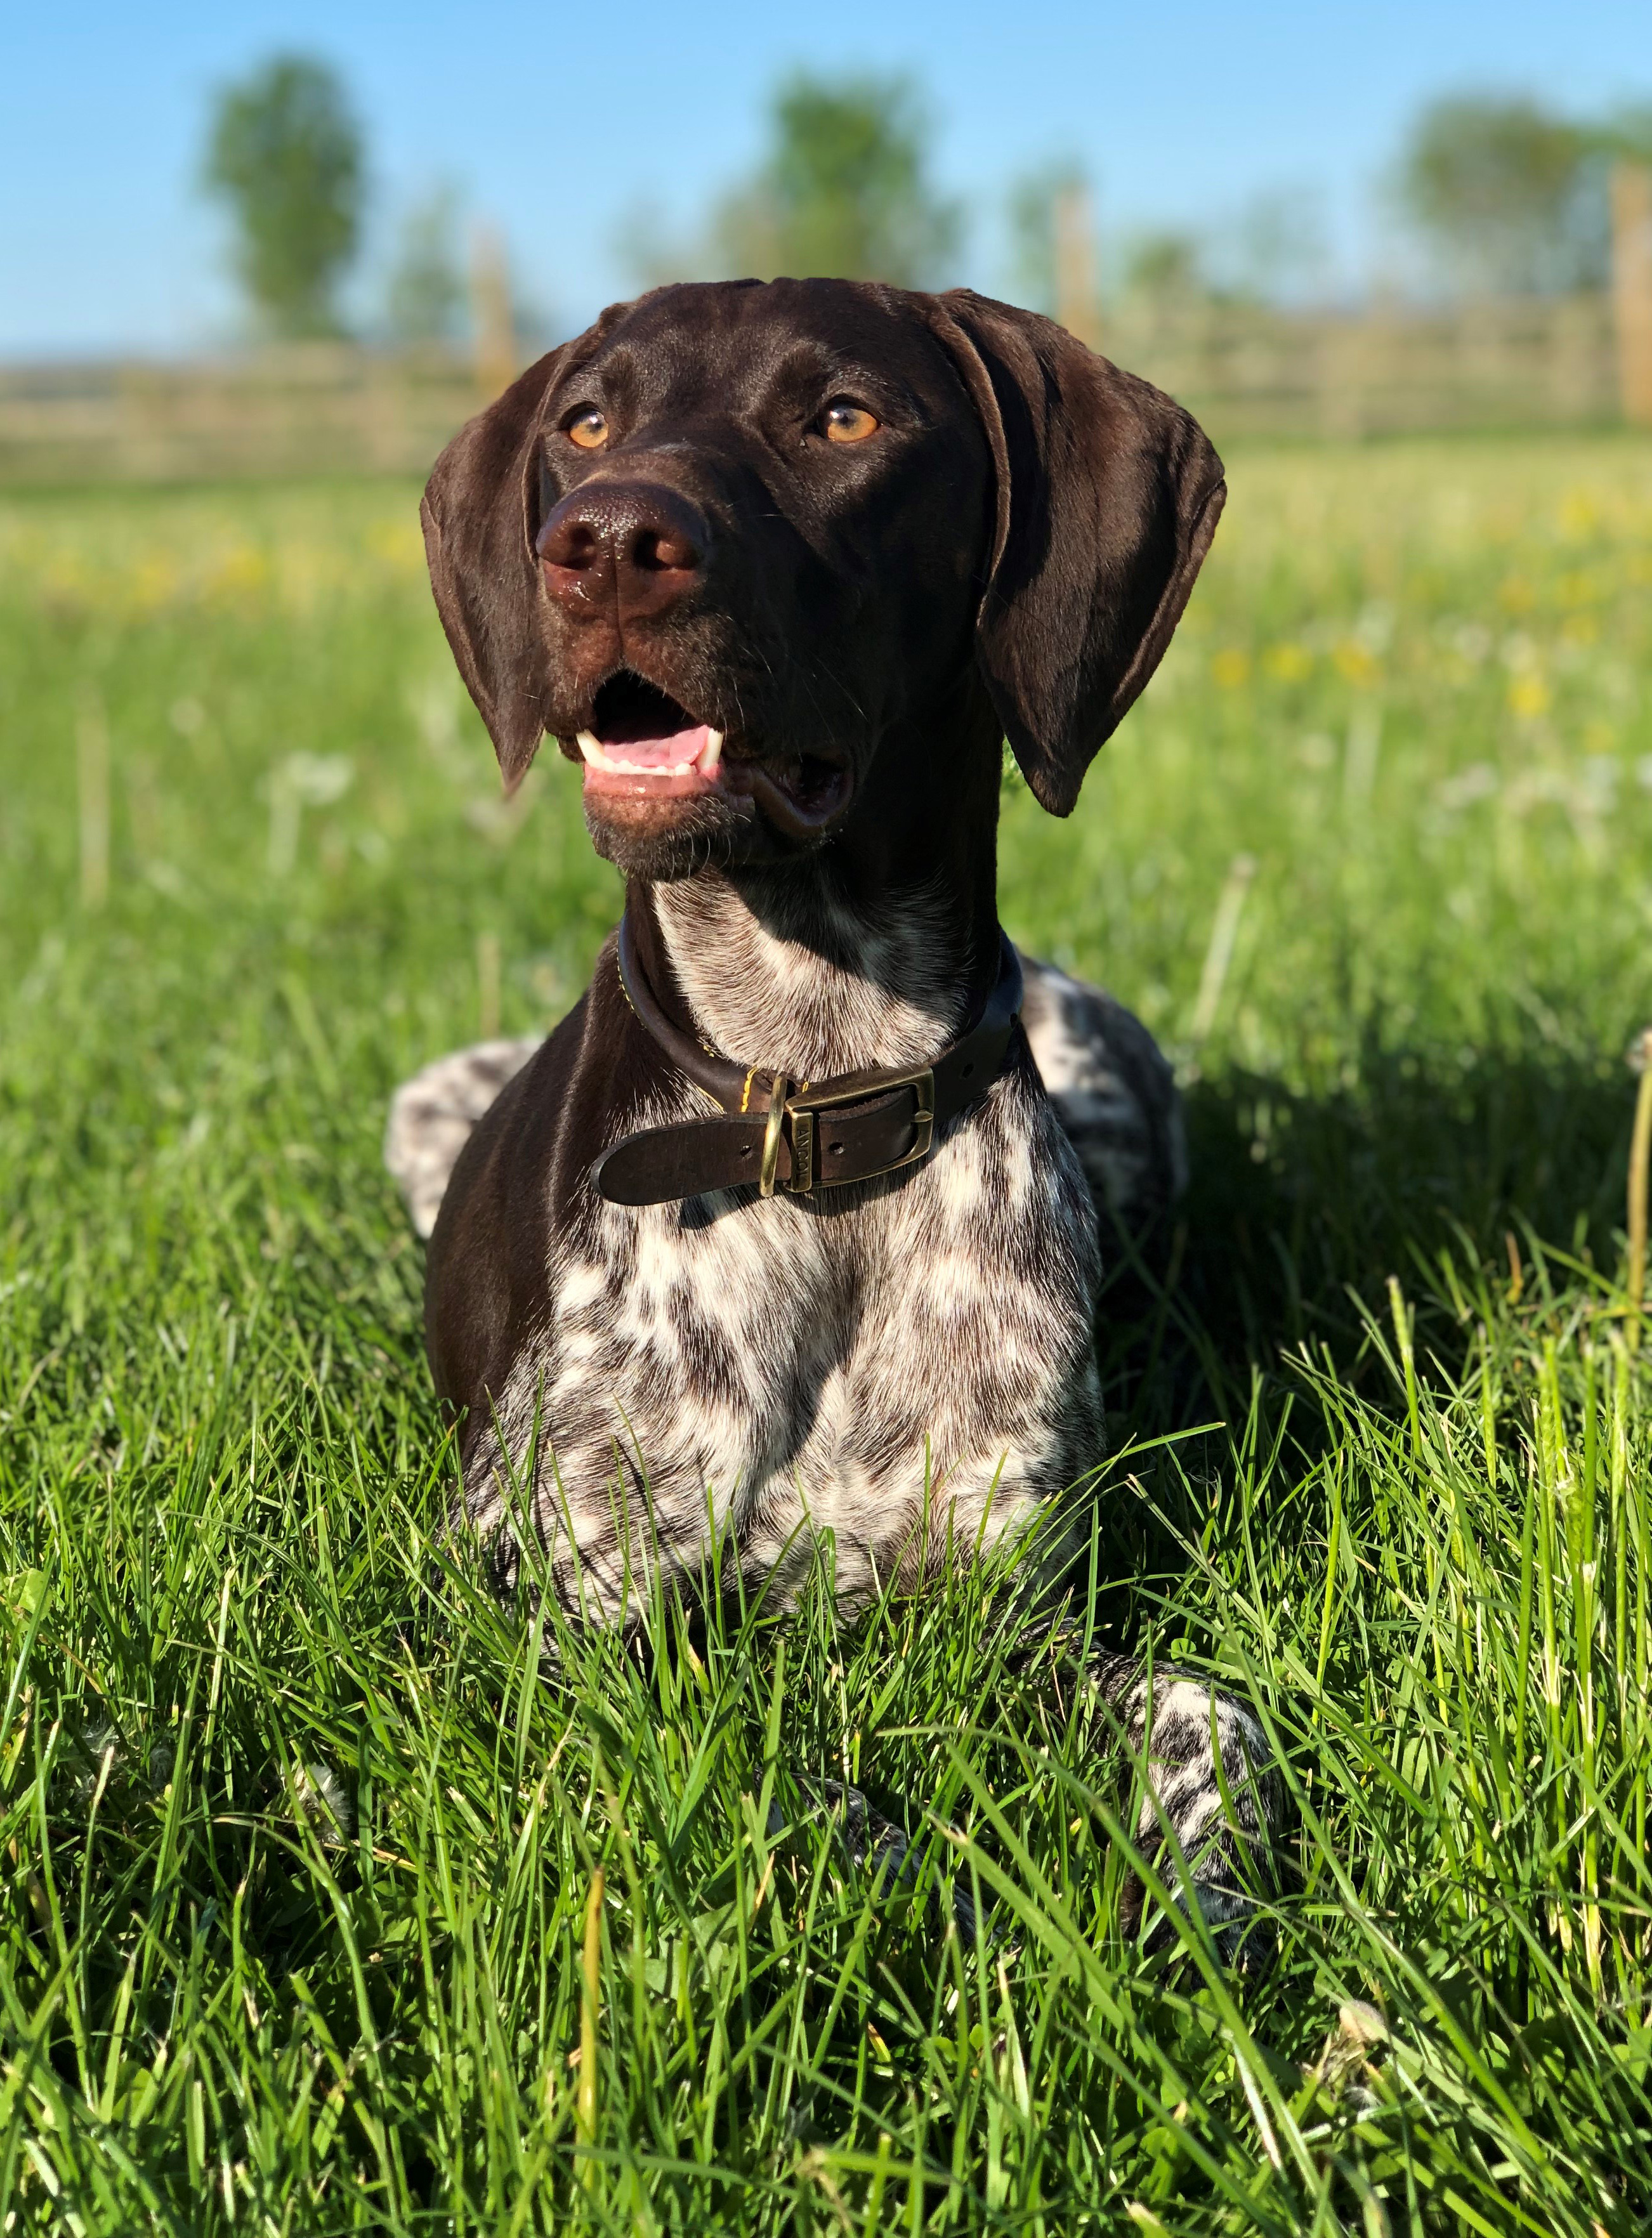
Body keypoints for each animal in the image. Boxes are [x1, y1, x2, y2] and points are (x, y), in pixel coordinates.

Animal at [389, 280, 1271, 1951]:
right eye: (585, 423)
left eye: (844, 418)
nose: (605, 538)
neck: (815, 1095)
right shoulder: (573, 1622)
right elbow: (784, 1777)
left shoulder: (1007, 1605)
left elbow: (1210, 1714)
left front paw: (1207, 1903)